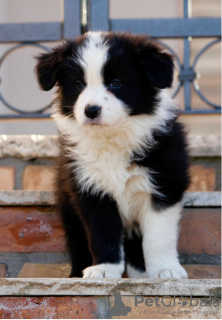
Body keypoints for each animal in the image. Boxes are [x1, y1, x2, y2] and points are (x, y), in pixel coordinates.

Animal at [35, 31, 190, 278]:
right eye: (79, 84)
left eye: (115, 83)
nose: (91, 110)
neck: (111, 137)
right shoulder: (89, 189)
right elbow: (102, 233)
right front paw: (104, 269)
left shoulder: (164, 185)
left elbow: (159, 236)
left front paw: (165, 270)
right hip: (68, 207)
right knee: (78, 243)